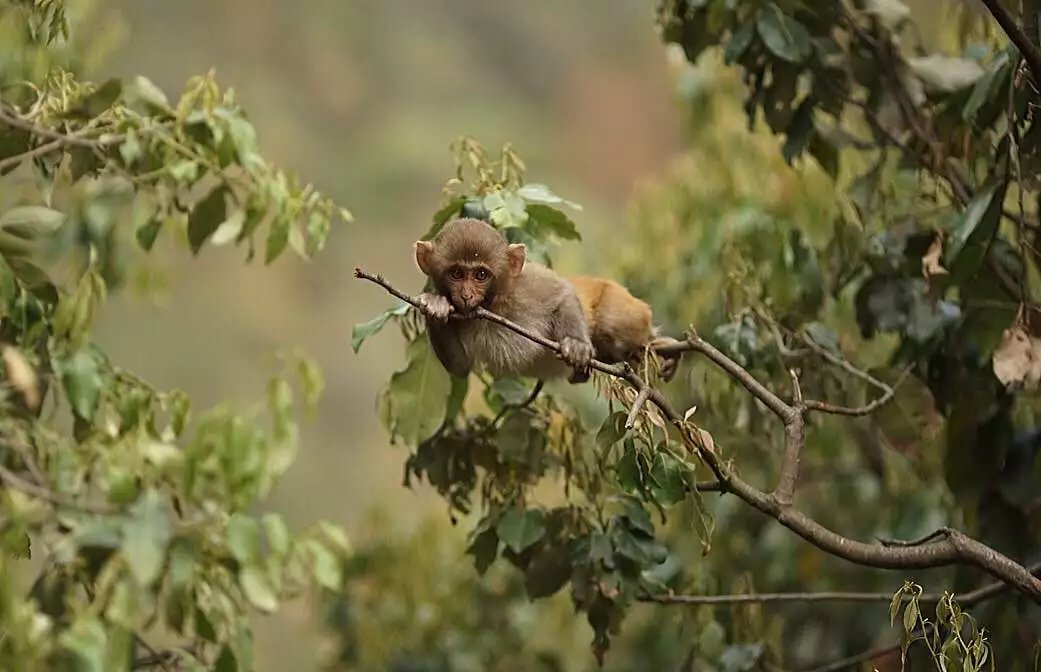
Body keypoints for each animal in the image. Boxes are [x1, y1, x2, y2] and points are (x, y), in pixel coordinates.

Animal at [414, 218, 682, 386]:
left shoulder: (526, 286)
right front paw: (436, 306)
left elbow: (563, 293)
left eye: (481, 274)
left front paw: (575, 344)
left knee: (613, 324)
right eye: (456, 274)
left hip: (623, 305)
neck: (492, 303)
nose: (467, 295)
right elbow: (461, 367)